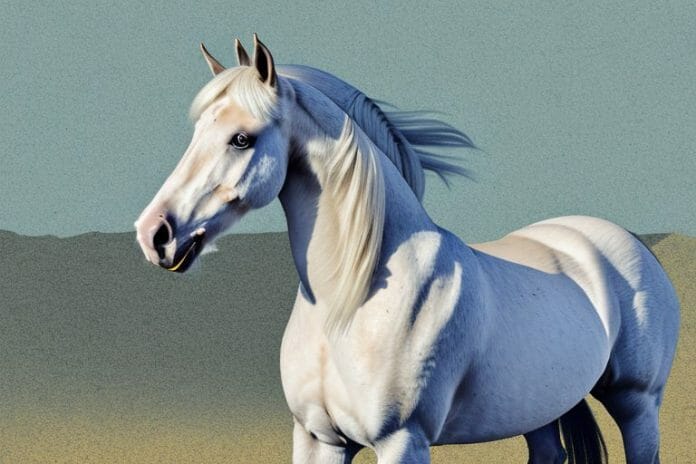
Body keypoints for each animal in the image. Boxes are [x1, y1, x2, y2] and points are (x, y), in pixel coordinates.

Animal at [135, 35, 680, 463]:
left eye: (241, 139)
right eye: (197, 134)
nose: (154, 234)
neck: (351, 303)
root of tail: (626, 243)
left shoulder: (402, 440)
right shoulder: (318, 439)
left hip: (637, 404)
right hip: (538, 408)